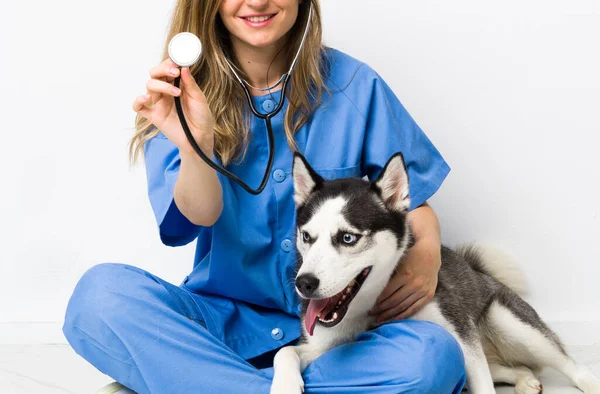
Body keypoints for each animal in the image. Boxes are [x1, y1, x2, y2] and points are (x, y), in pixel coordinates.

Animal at [272, 153, 600, 394]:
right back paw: (522, 377)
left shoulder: (461, 336)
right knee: (505, 367)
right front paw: (284, 386)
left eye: (347, 238)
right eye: (307, 236)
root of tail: (477, 270)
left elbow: (481, 381)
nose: (304, 283)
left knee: (569, 364)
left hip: (508, 321)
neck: (368, 308)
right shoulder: (322, 348)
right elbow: (284, 353)